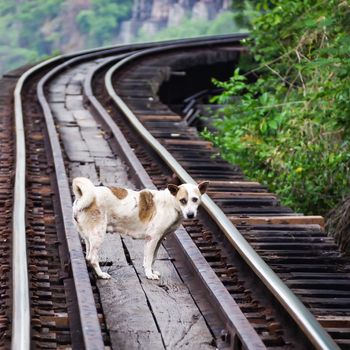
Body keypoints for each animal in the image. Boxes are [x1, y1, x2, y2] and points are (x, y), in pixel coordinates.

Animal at [71, 176, 208, 280]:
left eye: (195, 199)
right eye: (183, 200)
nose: (190, 215)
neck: (172, 203)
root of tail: (83, 197)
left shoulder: (159, 239)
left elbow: (153, 258)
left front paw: (152, 271)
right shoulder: (152, 238)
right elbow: (148, 259)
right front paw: (149, 274)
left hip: (89, 237)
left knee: (88, 256)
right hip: (98, 235)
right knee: (92, 258)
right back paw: (101, 275)